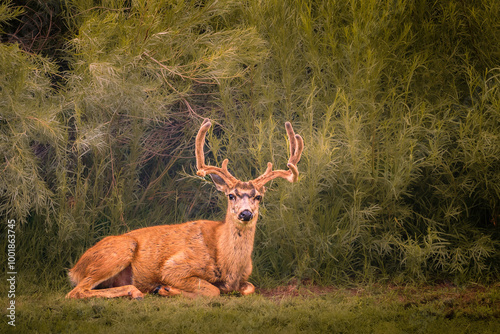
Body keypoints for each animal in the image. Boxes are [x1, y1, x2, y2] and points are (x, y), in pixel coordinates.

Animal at [65, 118, 302, 298]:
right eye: (231, 195)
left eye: (259, 197)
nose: (246, 213)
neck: (229, 266)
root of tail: (75, 268)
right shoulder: (174, 266)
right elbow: (212, 290)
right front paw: (165, 288)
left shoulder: (245, 279)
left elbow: (249, 288)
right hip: (120, 249)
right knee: (76, 292)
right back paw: (137, 292)